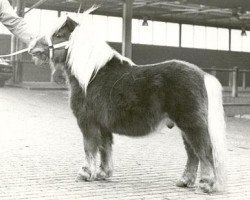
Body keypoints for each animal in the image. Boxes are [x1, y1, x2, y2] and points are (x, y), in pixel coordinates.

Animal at [28, 9, 228, 194]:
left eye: (58, 35)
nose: (32, 49)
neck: (92, 75)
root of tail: (203, 75)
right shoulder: (103, 125)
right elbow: (105, 148)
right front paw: (103, 173)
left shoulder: (88, 122)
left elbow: (89, 147)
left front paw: (85, 174)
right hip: (185, 126)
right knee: (193, 153)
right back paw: (185, 181)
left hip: (191, 124)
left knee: (204, 151)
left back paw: (205, 184)